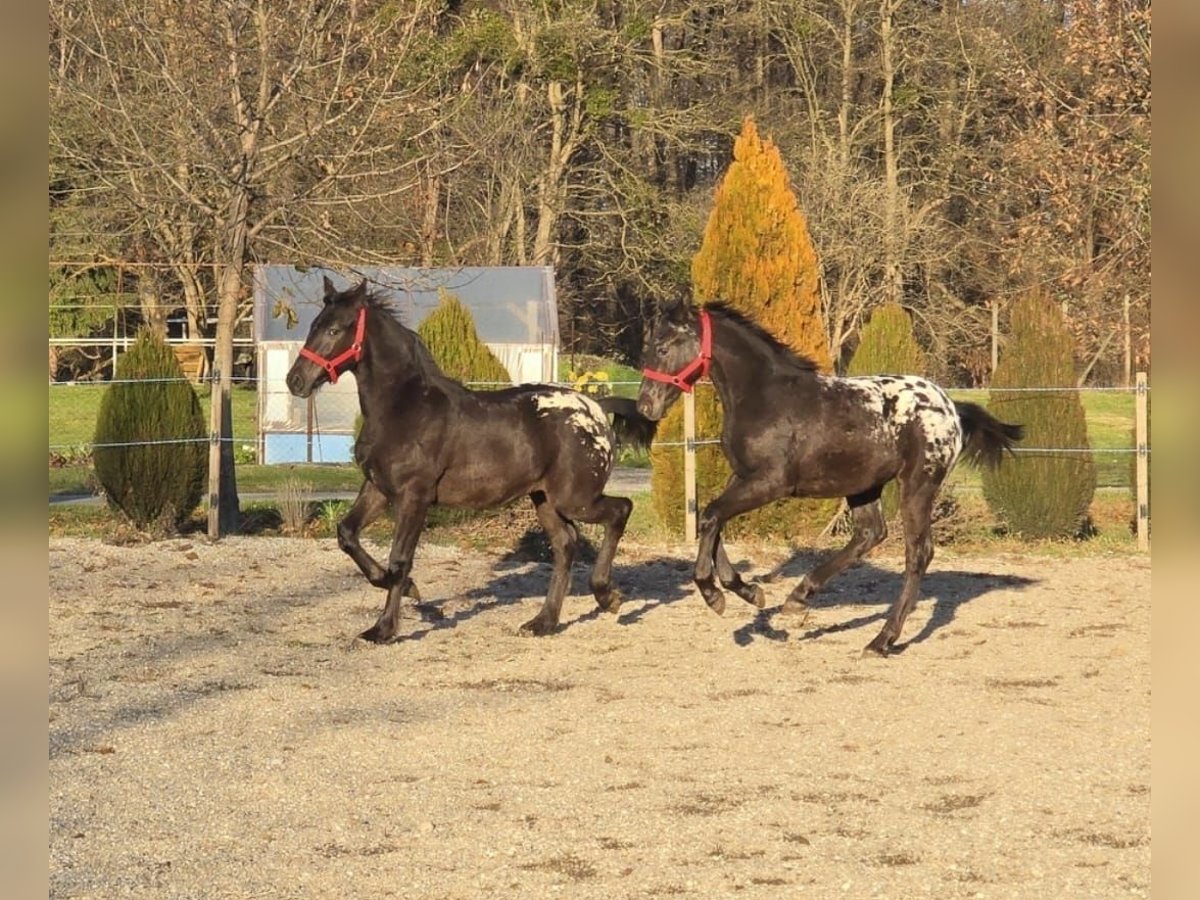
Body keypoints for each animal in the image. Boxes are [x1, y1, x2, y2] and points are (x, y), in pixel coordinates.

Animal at [285, 277, 656, 642]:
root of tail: (596, 409)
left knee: (620, 510)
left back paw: (607, 596)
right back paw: (543, 622)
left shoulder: (414, 496)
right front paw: (404, 589)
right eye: (314, 325)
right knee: (565, 545)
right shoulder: (378, 488)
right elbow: (347, 534)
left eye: (335, 329)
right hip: (546, 500)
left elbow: (400, 558)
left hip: (575, 498)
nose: (295, 380)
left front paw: (383, 628)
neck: (404, 408)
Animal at [636, 299, 1023, 656]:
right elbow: (713, 520)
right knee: (870, 533)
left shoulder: (772, 482)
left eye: (663, 348)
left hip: (917, 484)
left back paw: (881, 640)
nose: (645, 405)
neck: (765, 396)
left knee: (918, 553)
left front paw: (713, 593)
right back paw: (799, 596)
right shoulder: (743, 476)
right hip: (864, 485)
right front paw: (748, 591)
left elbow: (712, 515)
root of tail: (952, 408)